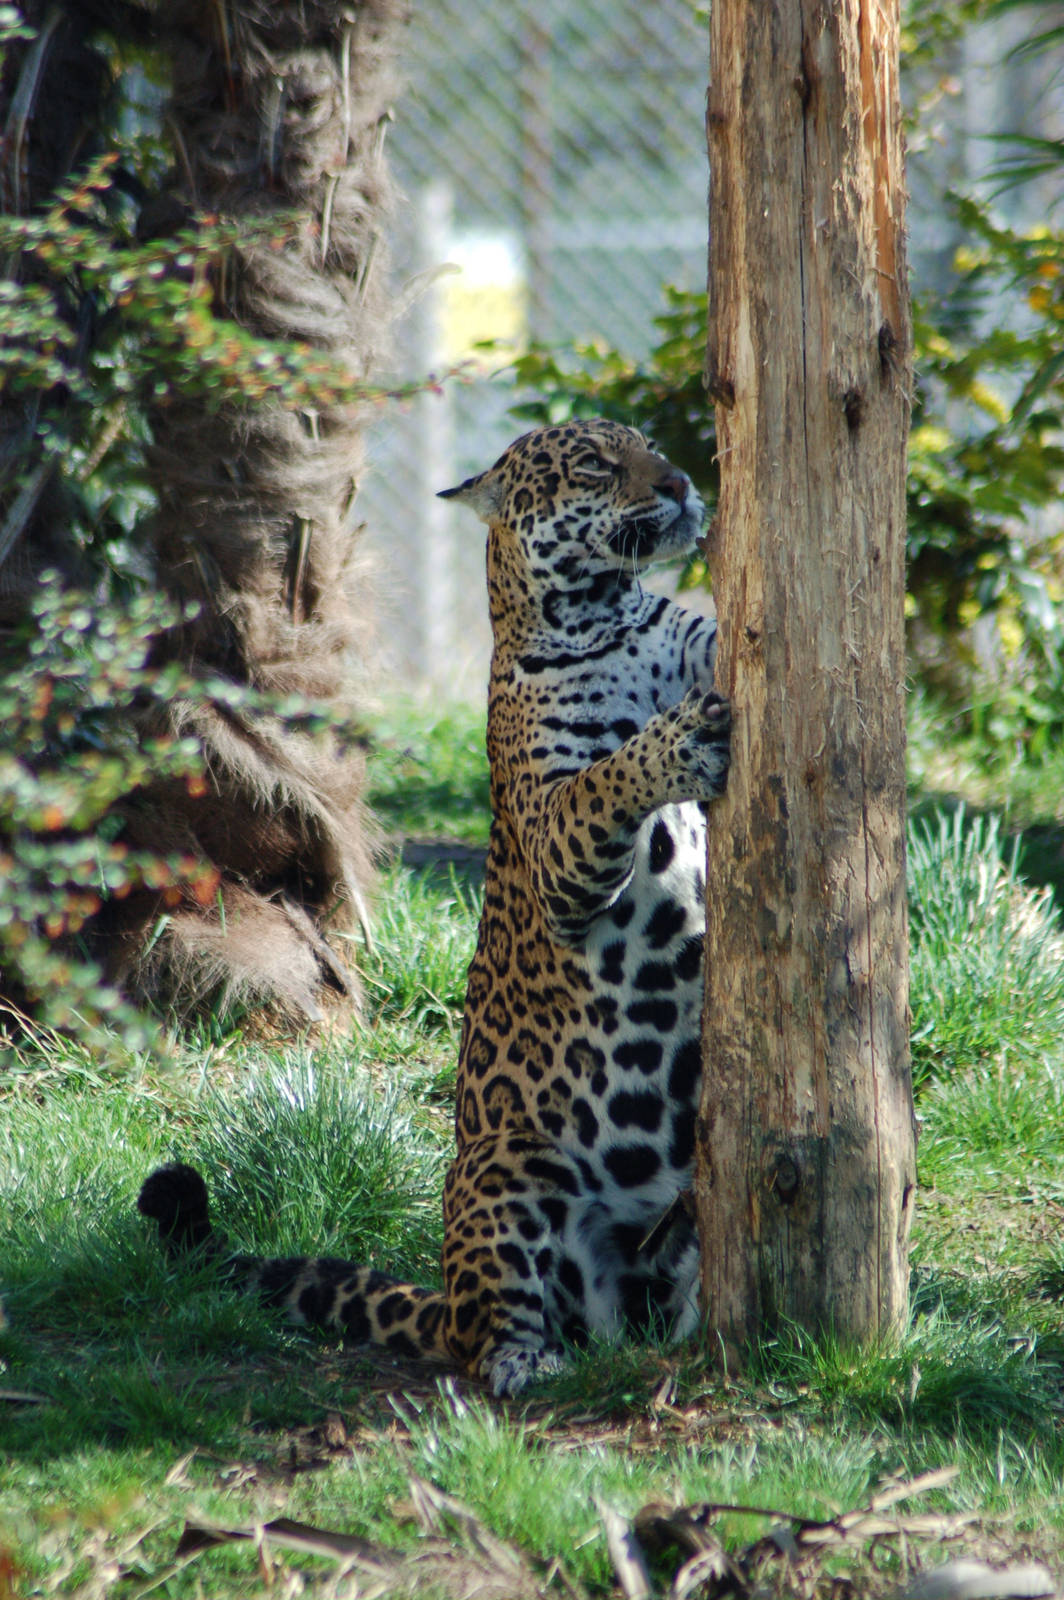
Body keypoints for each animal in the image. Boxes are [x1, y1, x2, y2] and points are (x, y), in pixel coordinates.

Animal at [139, 418, 731, 1397]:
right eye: (596, 464)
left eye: (647, 446)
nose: (682, 484)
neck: (605, 616)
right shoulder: (555, 834)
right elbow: (610, 776)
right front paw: (677, 740)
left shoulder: (690, 643)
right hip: (503, 1178)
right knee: (492, 1332)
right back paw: (525, 1363)